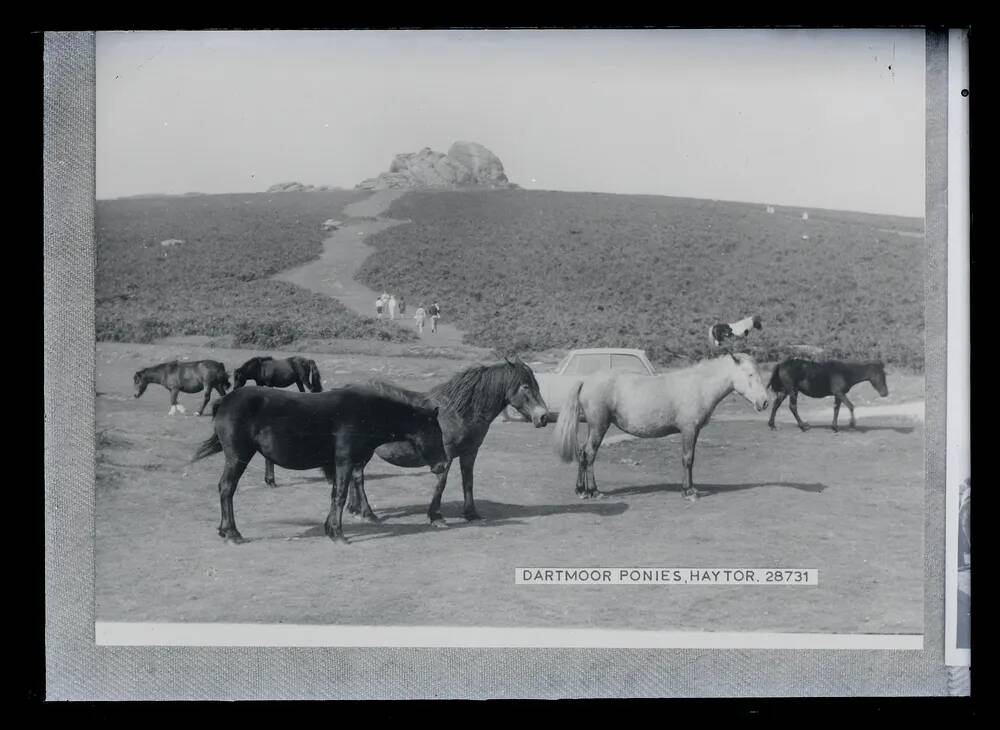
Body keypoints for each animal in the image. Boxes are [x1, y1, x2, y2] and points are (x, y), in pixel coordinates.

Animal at [190, 384, 446, 544]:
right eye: (435, 432)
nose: (442, 465)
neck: (365, 413)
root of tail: (225, 400)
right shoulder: (344, 460)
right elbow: (340, 495)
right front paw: (338, 534)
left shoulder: (336, 464)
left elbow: (335, 494)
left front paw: (330, 529)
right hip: (237, 457)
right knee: (227, 488)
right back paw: (233, 533)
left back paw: (224, 530)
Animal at [342, 356, 548, 528]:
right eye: (525, 386)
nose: (544, 417)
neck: (457, 413)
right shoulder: (446, 455)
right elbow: (441, 483)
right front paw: (436, 517)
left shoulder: (470, 453)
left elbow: (468, 482)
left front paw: (471, 514)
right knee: (358, 477)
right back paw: (368, 514)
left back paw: (354, 509)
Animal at [552, 352, 768, 500]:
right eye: (750, 374)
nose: (765, 402)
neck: (698, 386)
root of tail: (585, 380)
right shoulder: (688, 430)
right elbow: (687, 459)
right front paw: (688, 492)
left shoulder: (695, 431)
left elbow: (691, 459)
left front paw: (692, 488)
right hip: (599, 426)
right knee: (589, 453)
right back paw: (594, 491)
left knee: (582, 453)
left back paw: (581, 490)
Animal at [764, 356, 892, 430]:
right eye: (880, 375)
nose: (885, 393)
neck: (844, 373)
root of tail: (781, 365)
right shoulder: (839, 393)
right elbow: (850, 406)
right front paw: (852, 424)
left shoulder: (838, 395)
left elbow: (836, 409)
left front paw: (834, 427)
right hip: (792, 391)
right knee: (792, 407)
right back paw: (803, 426)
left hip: (785, 391)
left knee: (776, 405)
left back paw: (772, 425)